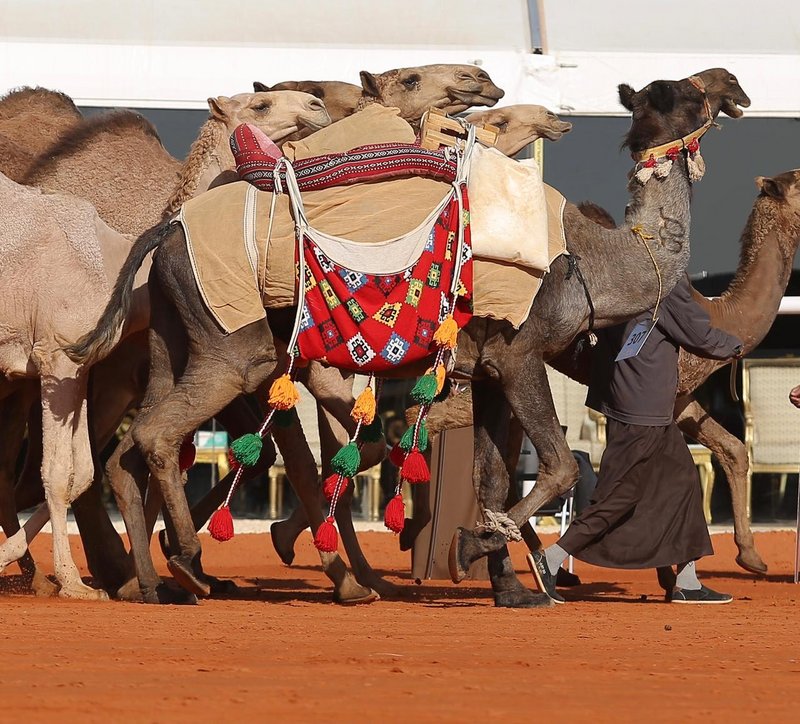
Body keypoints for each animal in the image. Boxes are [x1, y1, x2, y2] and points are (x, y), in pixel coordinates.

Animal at [67, 69, 752, 604]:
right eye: (687, 94)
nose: (735, 87)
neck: (597, 259)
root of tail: (167, 229)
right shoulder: (521, 352)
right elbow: (556, 467)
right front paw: (474, 549)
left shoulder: (488, 371)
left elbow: (492, 478)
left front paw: (509, 586)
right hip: (229, 346)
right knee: (156, 434)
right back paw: (189, 563)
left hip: (172, 340)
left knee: (129, 449)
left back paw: (156, 583)